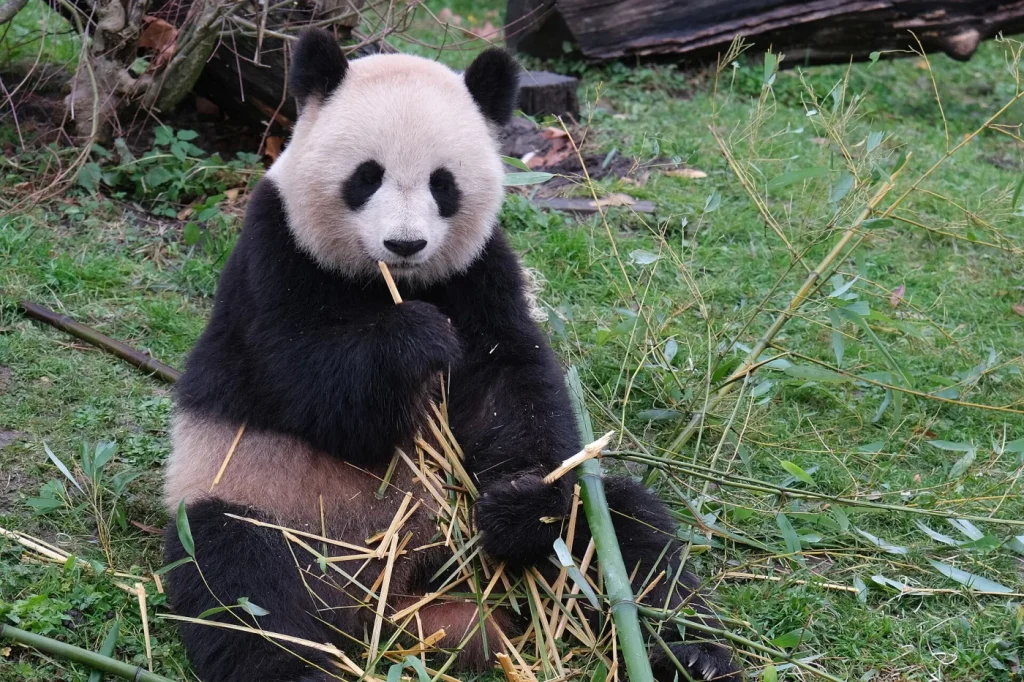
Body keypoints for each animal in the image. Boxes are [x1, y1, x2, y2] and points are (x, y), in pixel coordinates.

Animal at [163, 28, 742, 682]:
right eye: (366, 176)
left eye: (443, 183)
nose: (405, 243)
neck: (390, 281)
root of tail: (401, 592)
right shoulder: (276, 251)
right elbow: (299, 376)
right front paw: (415, 340)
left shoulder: (478, 269)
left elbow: (510, 380)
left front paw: (516, 505)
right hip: (268, 500)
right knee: (246, 587)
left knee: (625, 531)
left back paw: (691, 653)